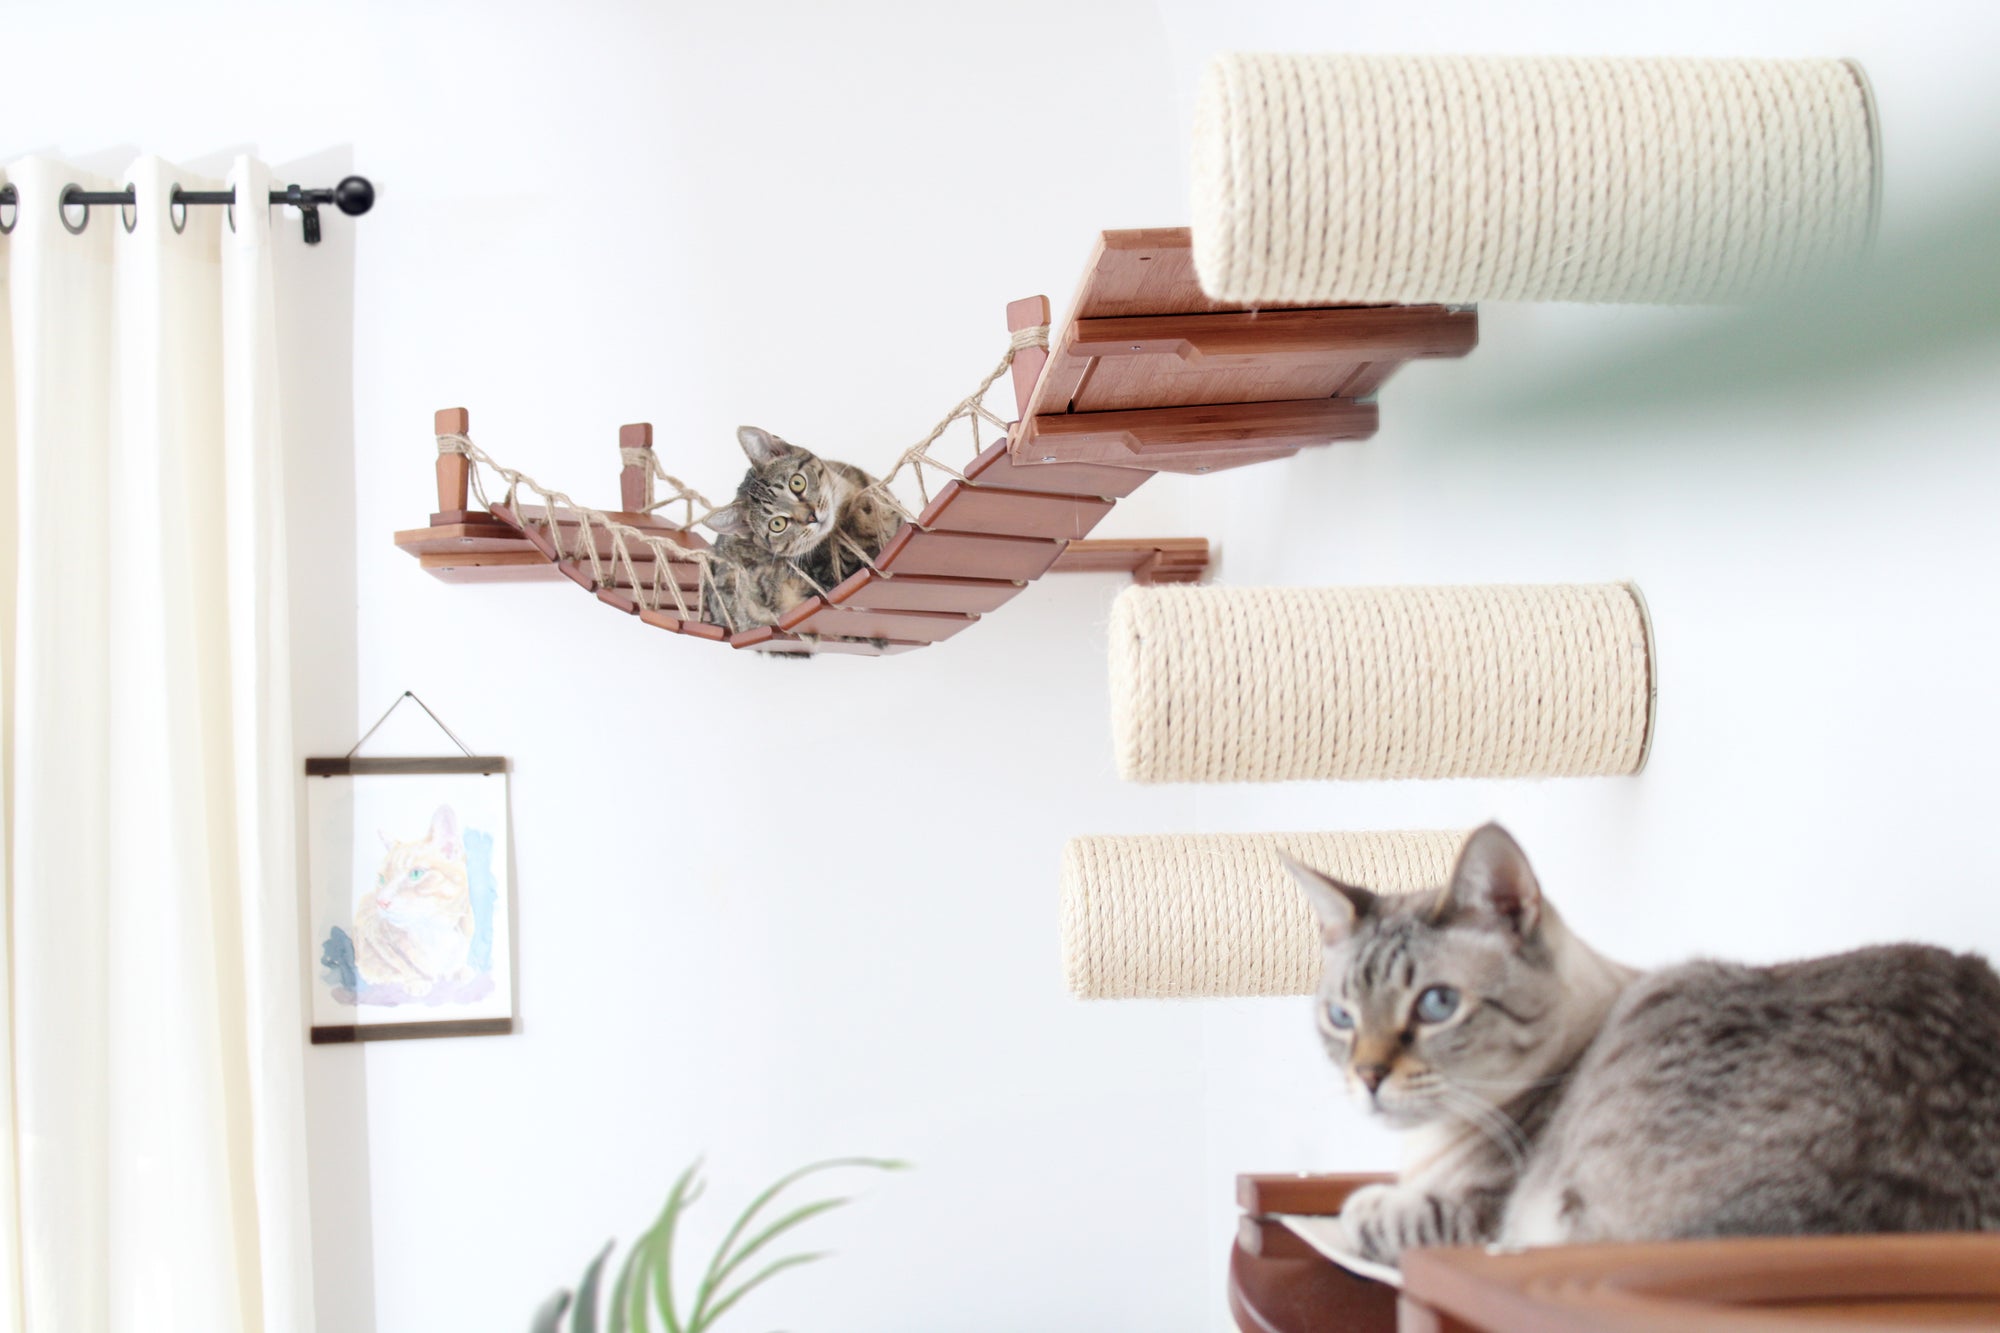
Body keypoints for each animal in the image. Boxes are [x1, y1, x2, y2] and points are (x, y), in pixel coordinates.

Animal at [1280, 820, 2000, 1264]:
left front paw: (1365, 1202)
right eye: (1341, 1017)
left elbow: (1370, 1210)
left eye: (1436, 1004)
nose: (1368, 1076)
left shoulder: (1482, 1212)